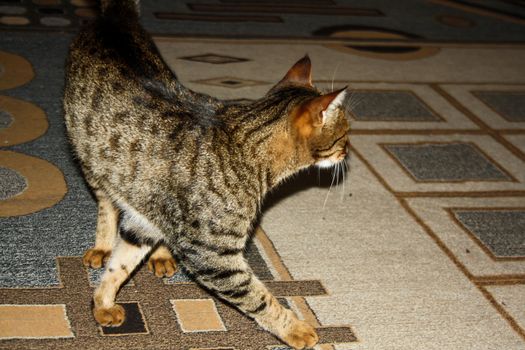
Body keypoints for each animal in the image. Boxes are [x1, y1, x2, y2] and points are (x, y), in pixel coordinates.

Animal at [62, 0, 348, 348]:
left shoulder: (146, 225)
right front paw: (296, 329)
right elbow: (260, 298)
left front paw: (102, 302)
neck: (245, 147)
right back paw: (103, 245)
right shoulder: (214, 257)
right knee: (106, 203)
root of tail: (114, 18)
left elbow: (121, 265)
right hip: (90, 161)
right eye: (344, 134)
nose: (348, 151)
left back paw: (160, 256)